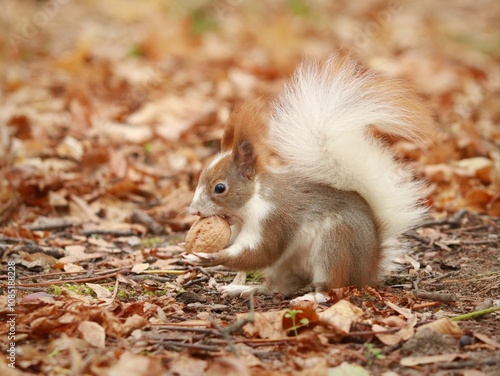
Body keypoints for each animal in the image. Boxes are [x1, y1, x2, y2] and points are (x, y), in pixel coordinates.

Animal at [184, 53, 434, 302]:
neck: (253, 199)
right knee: (280, 287)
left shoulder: (272, 220)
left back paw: (310, 298)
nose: (193, 211)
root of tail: (366, 270)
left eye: (220, 188)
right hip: (287, 265)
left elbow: (261, 253)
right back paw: (246, 289)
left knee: (331, 289)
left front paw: (208, 258)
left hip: (334, 246)